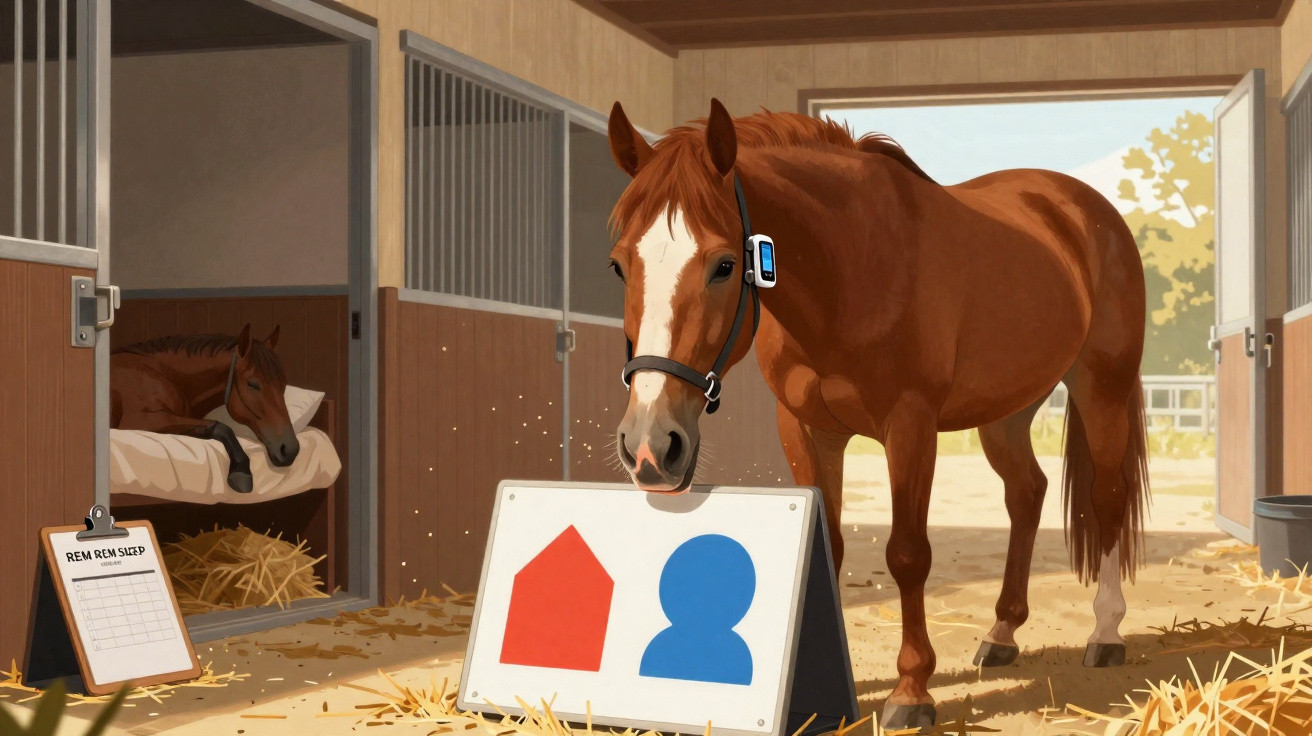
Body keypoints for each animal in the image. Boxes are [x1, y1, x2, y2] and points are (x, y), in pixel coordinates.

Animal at [111, 324, 299, 493]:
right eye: (252, 384)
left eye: (283, 383)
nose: (290, 450)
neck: (162, 374)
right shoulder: (140, 420)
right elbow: (222, 427)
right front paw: (241, 472)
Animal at [606, 99, 1148, 733]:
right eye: (619, 266)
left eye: (722, 264)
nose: (650, 446)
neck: (850, 269)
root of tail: (1086, 208)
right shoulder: (807, 429)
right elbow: (831, 546)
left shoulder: (909, 424)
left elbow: (908, 554)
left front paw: (911, 692)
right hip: (1008, 410)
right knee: (1026, 493)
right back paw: (1002, 633)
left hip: (1100, 385)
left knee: (1107, 496)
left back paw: (1106, 633)